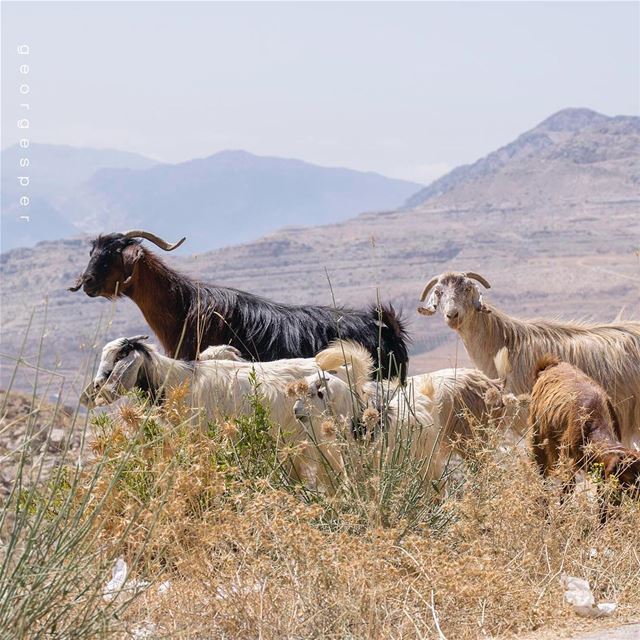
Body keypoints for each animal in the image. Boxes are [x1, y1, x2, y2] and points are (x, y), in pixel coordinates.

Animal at [528, 356, 640, 520]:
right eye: (631, 479)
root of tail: (550, 365)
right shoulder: (567, 462)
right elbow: (567, 491)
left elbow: (604, 500)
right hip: (538, 441)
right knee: (540, 475)